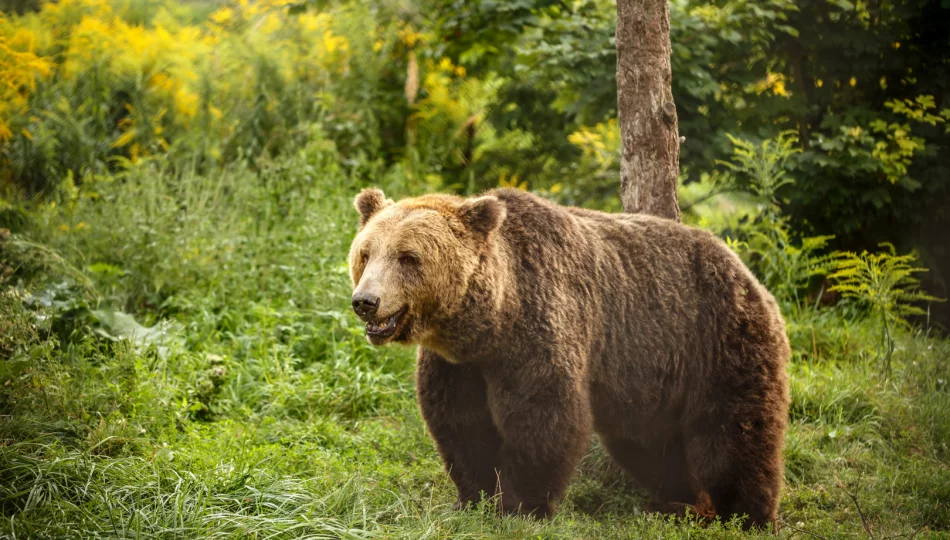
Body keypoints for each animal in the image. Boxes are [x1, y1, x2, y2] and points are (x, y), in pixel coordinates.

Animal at [346, 186, 792, 528]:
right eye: (366, 253)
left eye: (408, 257)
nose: (366, 301)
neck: (490, 322)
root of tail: (747, 271)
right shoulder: (459, 366)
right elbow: (462, 425)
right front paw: (473, 498)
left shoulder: (537, 330)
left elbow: (544, 416)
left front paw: (520, 505)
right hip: (651, 378)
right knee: (651, 446)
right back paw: (677, 502)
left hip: (717, 339)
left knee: (733, 433)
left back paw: (747, 515)